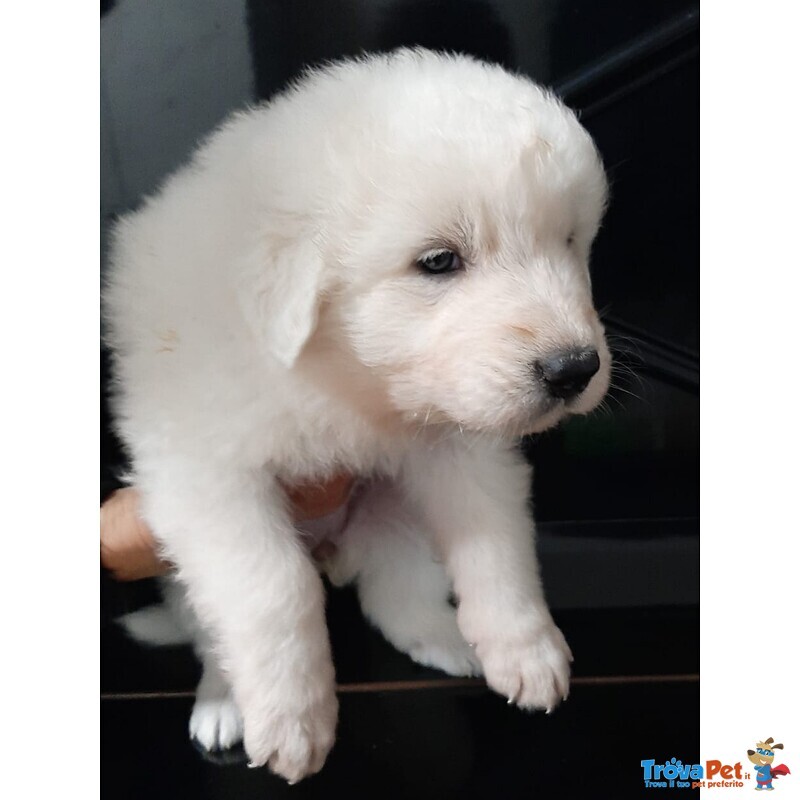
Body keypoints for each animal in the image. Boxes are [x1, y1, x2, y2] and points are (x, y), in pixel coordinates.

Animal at [103, 48, 608, 780]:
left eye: (568, 241)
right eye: (438, 261)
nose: (576, 369)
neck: (348, 380)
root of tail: (337, 554)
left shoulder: (462, 446)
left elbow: (496, 539)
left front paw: (527, 648)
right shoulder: (209, 479)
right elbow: (273, 588)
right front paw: (293, 722)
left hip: (393, 510)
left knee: (393, 593)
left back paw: (447, 639)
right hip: (177, 563)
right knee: (213, 631)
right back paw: (225, 704)